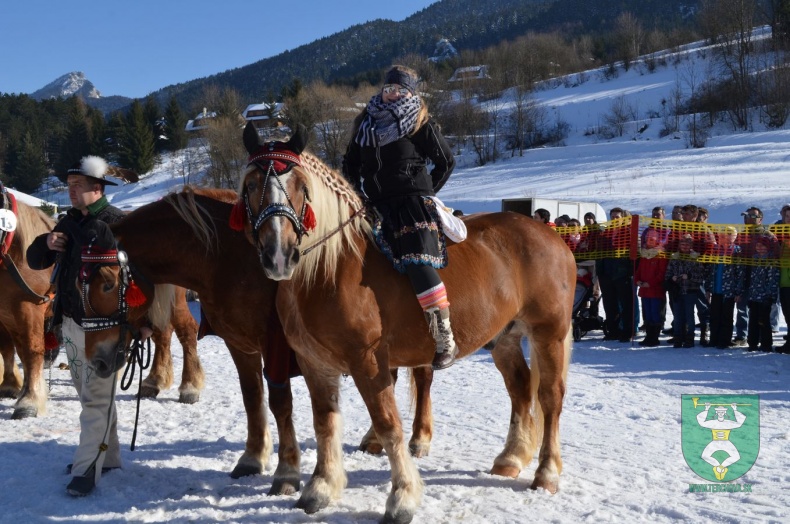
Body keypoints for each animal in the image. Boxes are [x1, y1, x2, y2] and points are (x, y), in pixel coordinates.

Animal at [238, 124, 580, 524]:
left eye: (301, 187)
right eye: (249, 186)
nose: (279, 255)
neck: (329, 268)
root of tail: (551, 236)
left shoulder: (368, 360)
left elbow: (388, 425)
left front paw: (402, 497)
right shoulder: (314, 363)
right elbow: (325, 423)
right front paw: (321, 488)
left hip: (549, 332)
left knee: (550, 397)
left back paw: (546, 473)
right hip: (504, 338)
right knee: (521, 388)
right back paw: (511, 458)